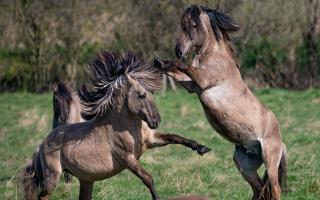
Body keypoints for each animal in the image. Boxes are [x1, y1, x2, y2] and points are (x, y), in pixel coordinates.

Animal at [20, 52, 210, 200]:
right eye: (141, 95)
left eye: (151, 93)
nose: (156, 121)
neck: (125, 127)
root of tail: (41, 145)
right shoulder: (126, 157)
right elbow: (148, 178)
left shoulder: (151, 141)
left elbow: (175, 137)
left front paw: (202, 148)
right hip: (53, 177)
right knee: (42, 196)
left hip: (86, 180)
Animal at [155, 4, 288, 200]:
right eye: (182, 25)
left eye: (193, 25)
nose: (179, 51)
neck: (215, 56)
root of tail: (280, 139)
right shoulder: (193, 86)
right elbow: (177, 73)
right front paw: (160, 63)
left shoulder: (203, 80)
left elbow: (185, 66)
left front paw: (169, 62)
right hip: (244, 165)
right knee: (259, 189)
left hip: (270, 161)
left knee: (275, 188)